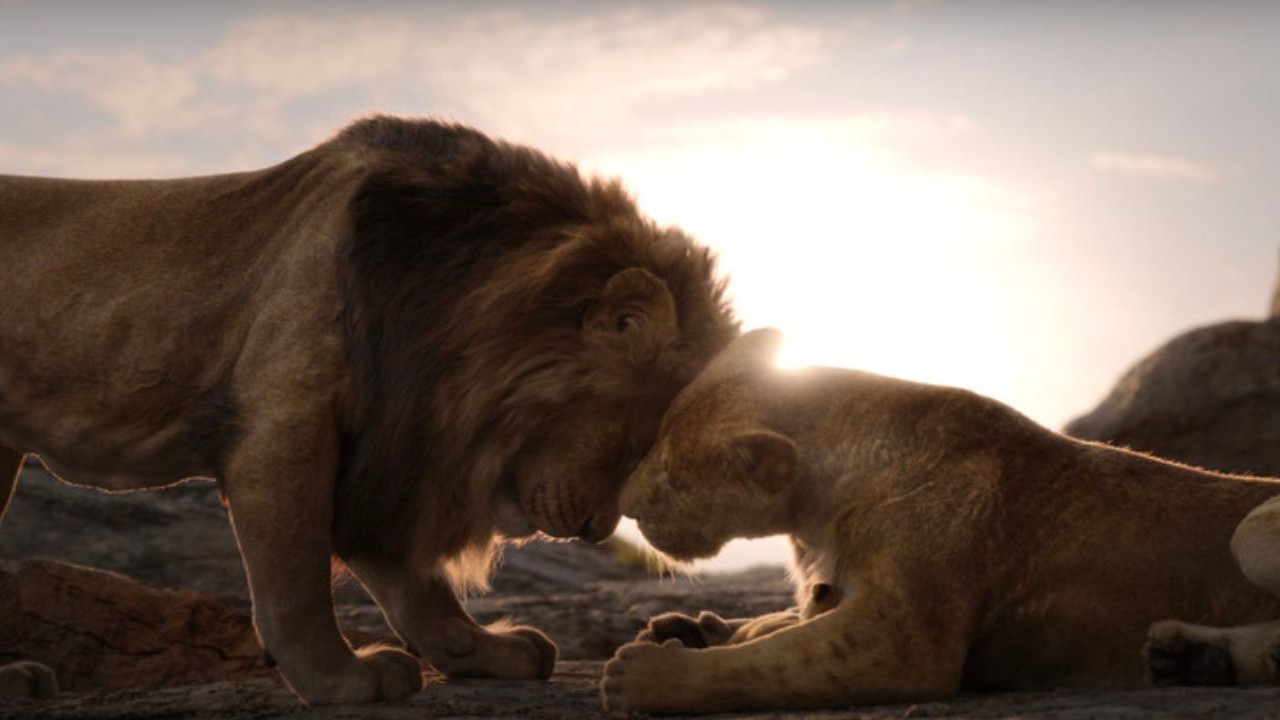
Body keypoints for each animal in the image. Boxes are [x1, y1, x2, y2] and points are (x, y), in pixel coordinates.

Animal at [0, 116, 742, 702]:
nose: (596, 531)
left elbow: (416, 586)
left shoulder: (389, 454)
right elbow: (296, 584)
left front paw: (483, 651)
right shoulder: (283, 424)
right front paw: (342, 681)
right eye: (637, 445)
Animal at [604, 330, 1280, 712]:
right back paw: (1189, 659)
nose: (625, 505)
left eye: (671, 477)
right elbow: (778, 628)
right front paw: (697, 627)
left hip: (1251, 531)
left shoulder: (904, 642)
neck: (817, 510)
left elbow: (770, 663)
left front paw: (648, 673)